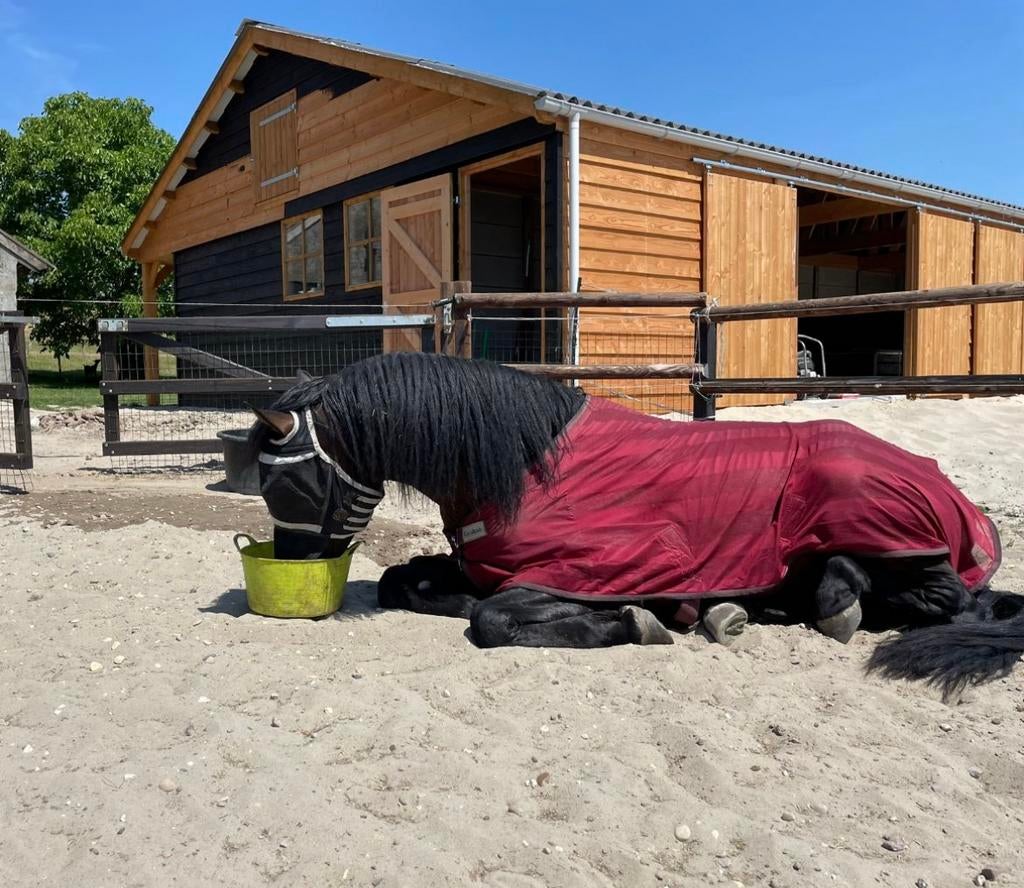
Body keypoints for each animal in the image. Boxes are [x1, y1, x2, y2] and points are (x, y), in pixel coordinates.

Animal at [249, 352, 1024, 697]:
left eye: (286, 480)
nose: (289, 565)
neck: (524, 466)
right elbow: (406, 582)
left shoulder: (584, 569)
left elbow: (494, 620)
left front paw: (630, 622)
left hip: (875, 519)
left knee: (945, 600)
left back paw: (818, 603)